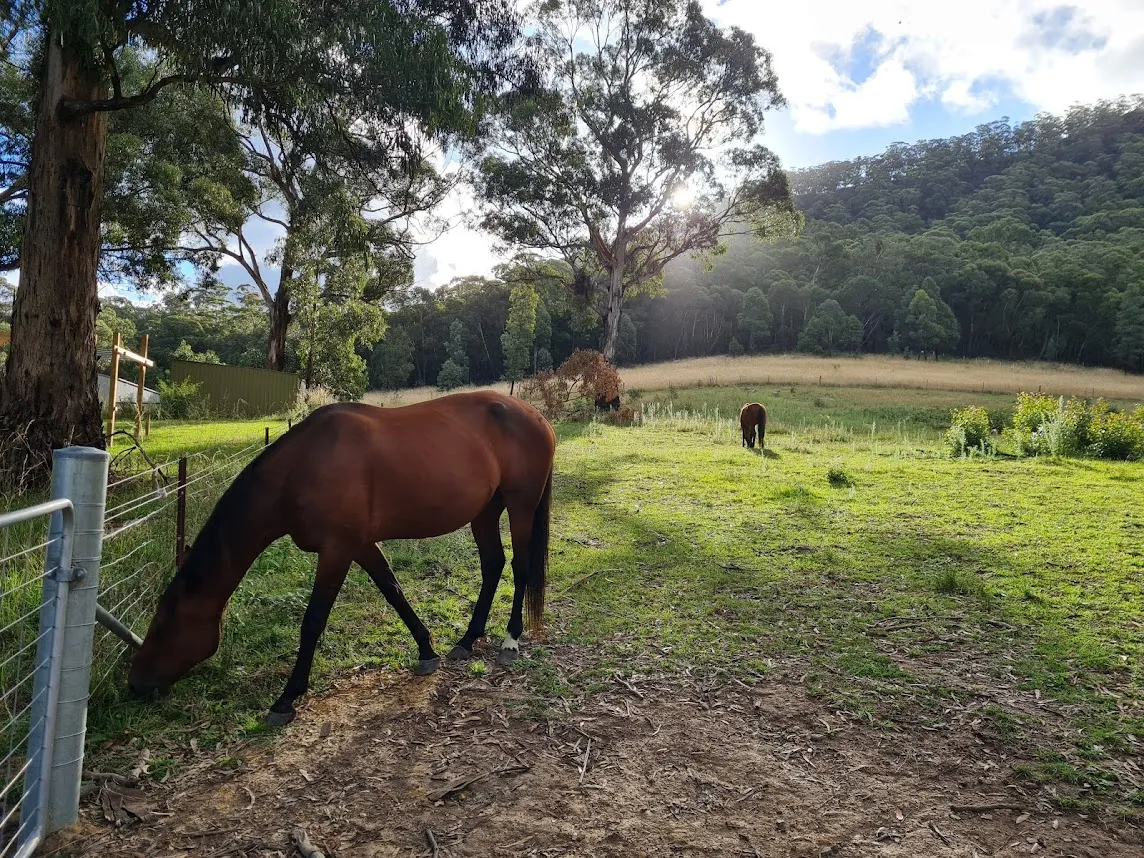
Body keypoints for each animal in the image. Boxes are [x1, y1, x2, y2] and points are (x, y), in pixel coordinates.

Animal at [127, 391, 557, 726]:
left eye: (163, 625)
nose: (135, 684)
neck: (302, 467)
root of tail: (537, 416)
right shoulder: (361, 547)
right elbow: (393, 591)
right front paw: (426, 650)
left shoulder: (336, 551)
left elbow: (313, 620)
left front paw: (287, 698)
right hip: (484, 511)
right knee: (492, 565)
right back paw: (467, 640)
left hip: (520, 506)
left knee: (519, 567)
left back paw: (510, 640)